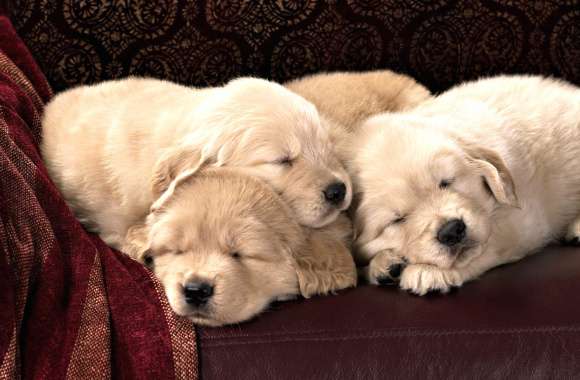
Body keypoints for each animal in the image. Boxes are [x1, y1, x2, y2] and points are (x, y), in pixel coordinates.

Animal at [352, 75, 580, 296]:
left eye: (446, 182)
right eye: (398, 219)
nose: (451, 231)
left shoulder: (523, 223)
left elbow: (485, 247)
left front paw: (428, 271)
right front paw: (383, 264)